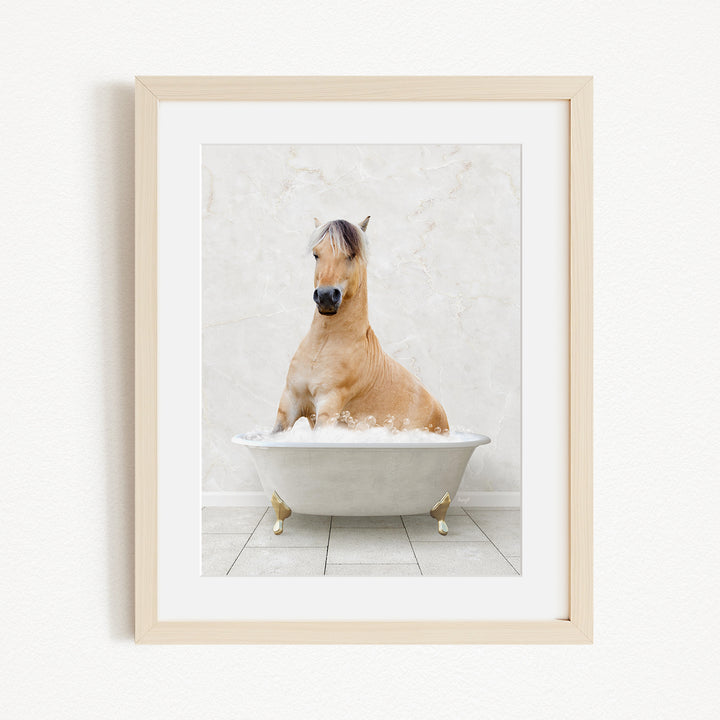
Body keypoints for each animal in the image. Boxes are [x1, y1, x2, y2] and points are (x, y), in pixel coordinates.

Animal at [272, 217, 449, 434]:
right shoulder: (290, 402)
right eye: (316, 254)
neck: (322, 346)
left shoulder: (328, 406)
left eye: (351, 255)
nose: (326, 296)